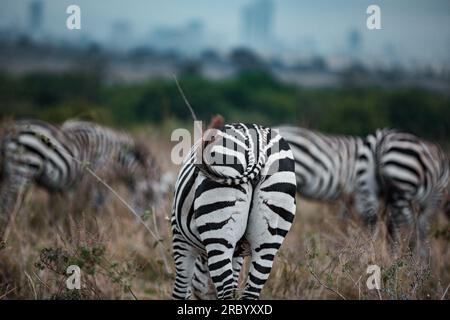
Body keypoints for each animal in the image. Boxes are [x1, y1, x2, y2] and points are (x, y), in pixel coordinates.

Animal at [0, 119, 165, 236]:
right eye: (149, 196)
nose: (146, 231)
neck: (117, 158)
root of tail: (10, 131)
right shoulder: (100, 179)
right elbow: (97, 205)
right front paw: (94, 227)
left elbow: (67, 209)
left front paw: (65, 228)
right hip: (23, 169)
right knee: (8, 204)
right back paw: (10, 229)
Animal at [171, 122, 298, 300]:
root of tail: (257, 143)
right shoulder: (238, 253)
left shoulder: (180, 237)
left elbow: (181, 290)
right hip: (268, 239)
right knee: (250, 291)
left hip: (219, 232)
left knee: (225, 291)